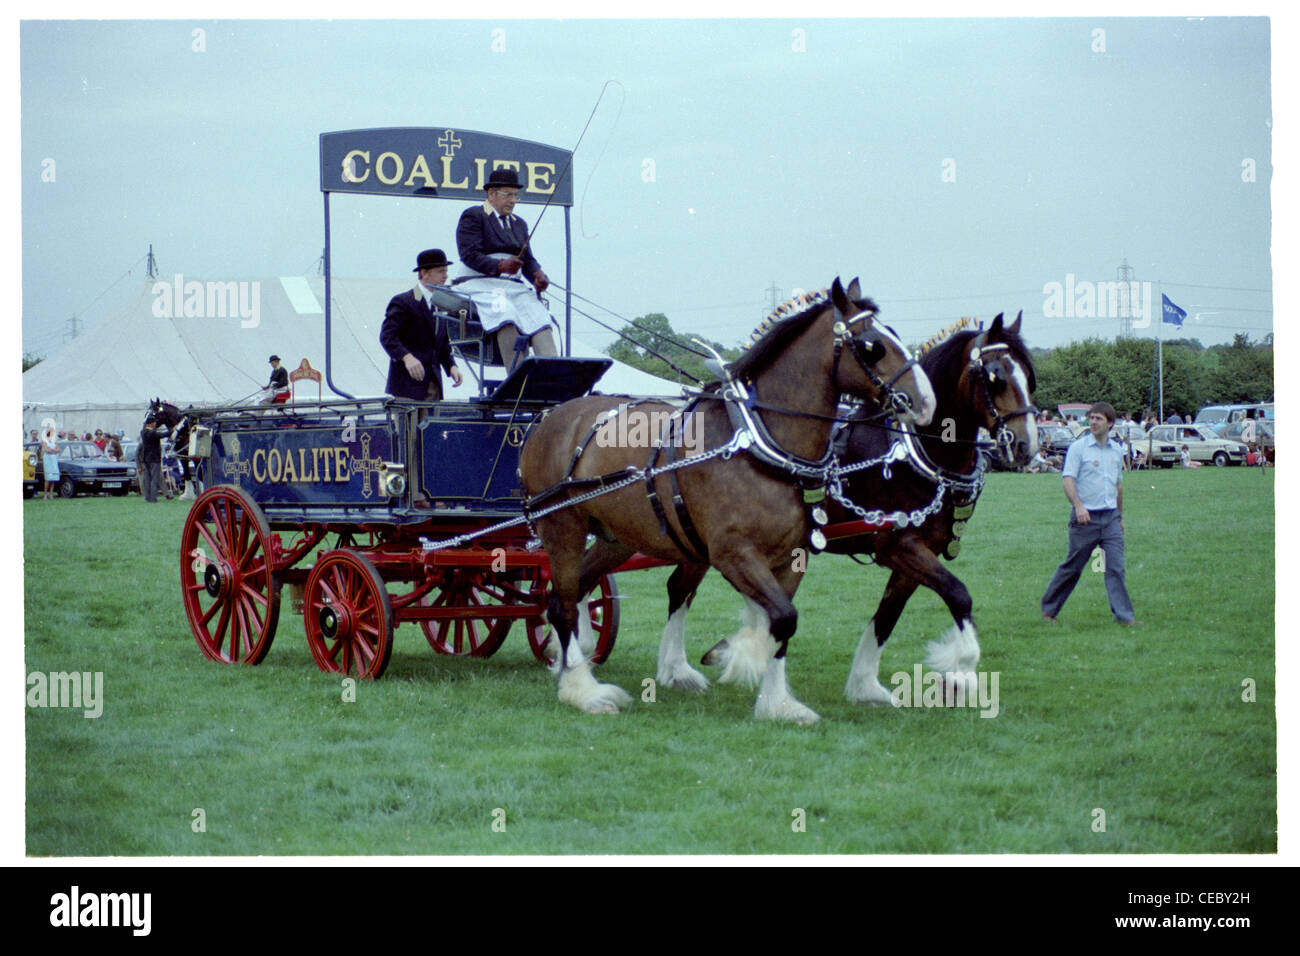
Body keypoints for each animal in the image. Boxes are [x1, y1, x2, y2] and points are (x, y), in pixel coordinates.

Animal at [517, 278, 935, 723]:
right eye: (874, 345)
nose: (926, 402)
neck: (757, 445)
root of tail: (549, 417)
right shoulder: (733, 553)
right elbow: (782, 618)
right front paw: (740, 661)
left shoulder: (791, 557)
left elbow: (781, 624)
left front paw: (777, 702)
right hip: (562, 527)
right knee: (560, 604)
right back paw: (583, 690)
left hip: (618, 537)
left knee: (577, 590)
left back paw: (566, 665)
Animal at [696, 312, 1040, 702]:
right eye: (996, 377)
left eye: (1030, 377)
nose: (1028, 444)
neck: (918, 453)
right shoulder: (900, 546)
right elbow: (959, 595)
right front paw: (963, 670)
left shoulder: (917, 556)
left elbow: (887, 617)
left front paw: (865, 685)